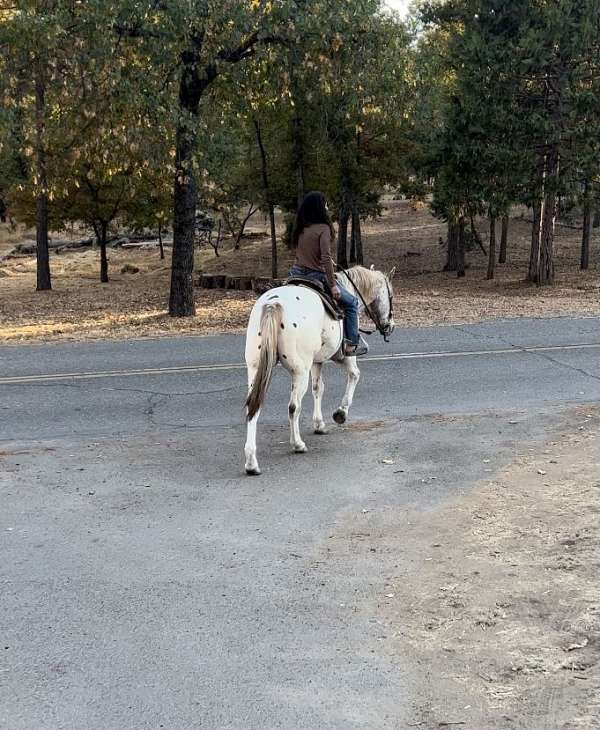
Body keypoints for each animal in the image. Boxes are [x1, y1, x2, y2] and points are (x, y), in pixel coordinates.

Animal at [241, 264, 396, 474]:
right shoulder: (344, 356)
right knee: (293, 407)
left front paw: (319, 424)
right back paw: (297, 444)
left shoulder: (316, 362)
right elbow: (354, 375)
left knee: (253, 406)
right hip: (299, 371)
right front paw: (340, 413)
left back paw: (251, 462)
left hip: (256, 368)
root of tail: (274, 304)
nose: (390, 326)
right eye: (391, 296)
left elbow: (318, 389)